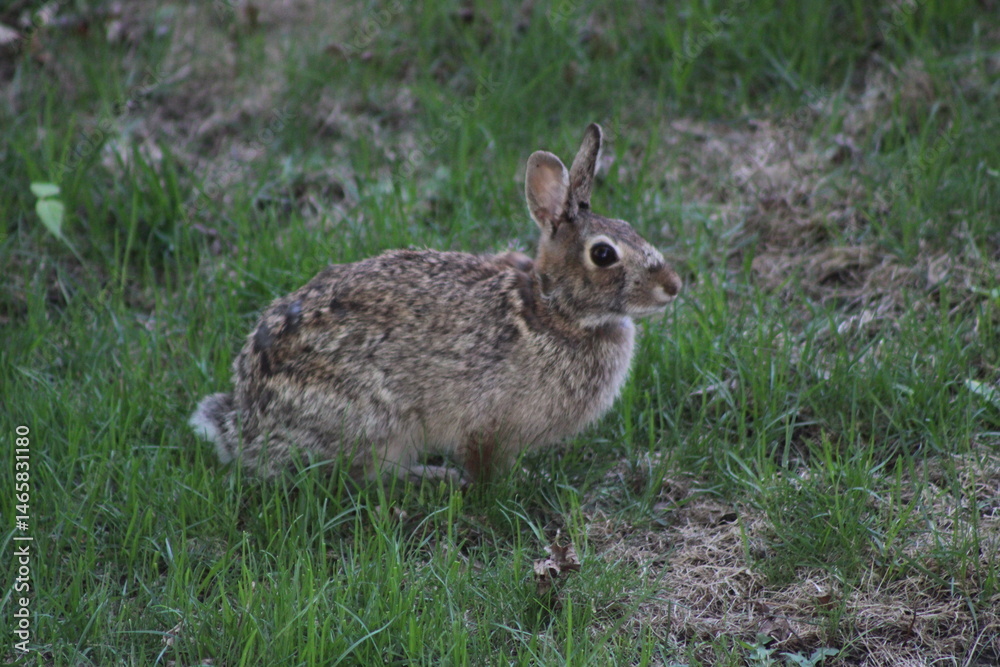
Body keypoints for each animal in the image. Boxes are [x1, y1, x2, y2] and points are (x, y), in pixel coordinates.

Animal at [190, 123, 682, 484]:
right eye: (604, 255)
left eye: (628, 226)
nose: (673, 286)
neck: (554, 310)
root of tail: (249, 419)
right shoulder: (488, 423)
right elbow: (484, 462)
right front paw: (508, 483)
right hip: (374, 421)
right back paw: (434, 476)